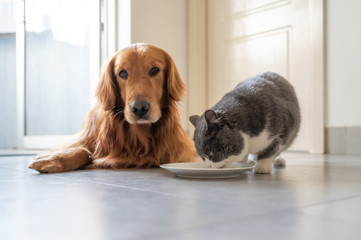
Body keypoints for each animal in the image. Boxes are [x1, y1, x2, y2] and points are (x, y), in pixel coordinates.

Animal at [29, 42, 195, 172]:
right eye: (122, 73)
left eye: (155, 70)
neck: (137, 134)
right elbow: (84, 150)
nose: (139, 108)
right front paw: (52, 159)